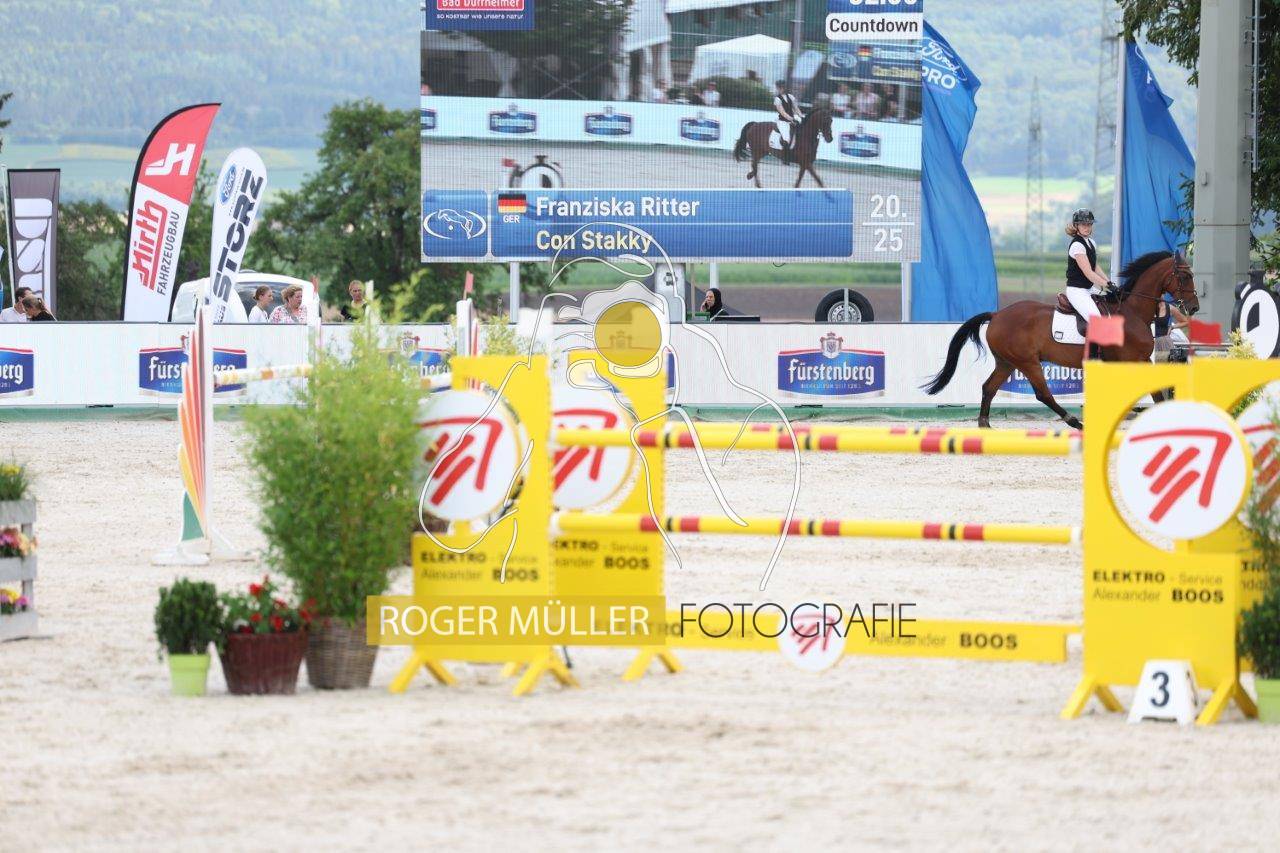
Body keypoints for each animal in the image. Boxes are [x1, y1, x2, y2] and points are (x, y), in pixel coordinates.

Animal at [923, 251, 1199, 429]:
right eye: (1185, 277)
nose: (1193, 307)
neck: (1131, 312)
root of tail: (997, 314)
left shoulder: (1138, 361)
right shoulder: (1133, 361)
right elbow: (1152, 394)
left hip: (1007, 362)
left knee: (989, 387)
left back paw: (985, 425)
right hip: (1027, 362)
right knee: (1043, 394)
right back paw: (1075, 422)